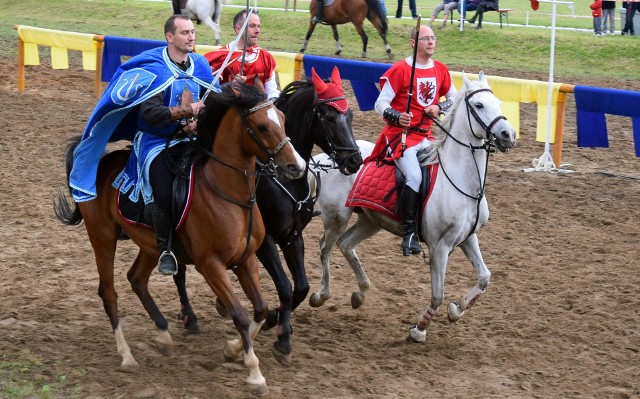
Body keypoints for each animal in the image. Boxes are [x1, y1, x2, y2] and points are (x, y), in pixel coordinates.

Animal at [53, 81, 306, 396]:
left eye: (282, 120)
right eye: (261, 126)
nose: (297, 166)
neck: (227, 193)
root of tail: (98, 163)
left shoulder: (246, 259)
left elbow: (260, 310)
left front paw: (233, 350)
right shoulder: (211, 266)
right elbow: (240, 314)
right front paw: (255, 375)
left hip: (150, 245)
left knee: (137, 278)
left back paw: (163, 335)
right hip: (102, 237)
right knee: (109, 293)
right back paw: (127, 356)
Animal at [172, 67, 362, 364]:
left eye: (350, 115)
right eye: (329, 116)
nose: (354, 160)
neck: (280, 180)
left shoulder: (292, 237)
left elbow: (301, 287)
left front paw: (279, 323)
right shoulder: (265, 242)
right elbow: (284, 286)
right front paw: (279, 331)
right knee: (178, 270)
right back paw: (189, 316)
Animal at [308, 72, 516, 344]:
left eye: (499, 104)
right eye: (479, 105)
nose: (508, 135)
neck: (460, 179)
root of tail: (325, 158)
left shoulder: (467, 238)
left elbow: (484, 277)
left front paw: (457, 309)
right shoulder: (440, 248)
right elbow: (437, 294)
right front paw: (419, 328)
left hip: (371, 220)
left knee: (346, 244)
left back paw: (360, 294)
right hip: (337, 217)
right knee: (326, 247)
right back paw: (321, 295)